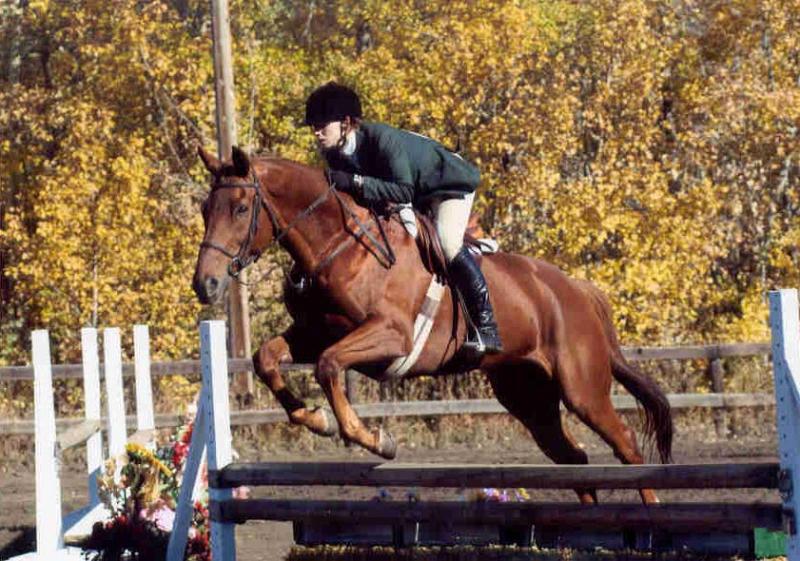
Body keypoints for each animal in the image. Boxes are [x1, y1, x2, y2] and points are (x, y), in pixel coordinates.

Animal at [191, 144, 672, 504]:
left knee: (627, 444)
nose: (205, 284)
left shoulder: (391, 336)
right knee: (573, 459)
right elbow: (266, 358)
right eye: (204, 208)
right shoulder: (315, 333)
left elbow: (328, 366)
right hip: (527, 395)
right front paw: (314, 418)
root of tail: (576, 289)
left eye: (240, 208)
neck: (339, 244)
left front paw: (374, 439)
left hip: (582, 389)